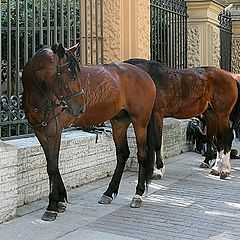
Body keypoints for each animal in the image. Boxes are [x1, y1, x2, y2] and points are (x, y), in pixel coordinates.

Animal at [21, 43, 157, 221]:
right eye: (71, 77)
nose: (80, 109)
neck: (40, 93)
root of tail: (145, 75)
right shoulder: (40, 131)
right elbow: (53, 165)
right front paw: (61, 200)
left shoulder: (54, 131)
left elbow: (52, 167)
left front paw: (52, 206)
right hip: (119, 122)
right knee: (122, 153)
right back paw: (108, 192)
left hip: (140, 122)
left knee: (142, 155)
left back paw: (138, 195)